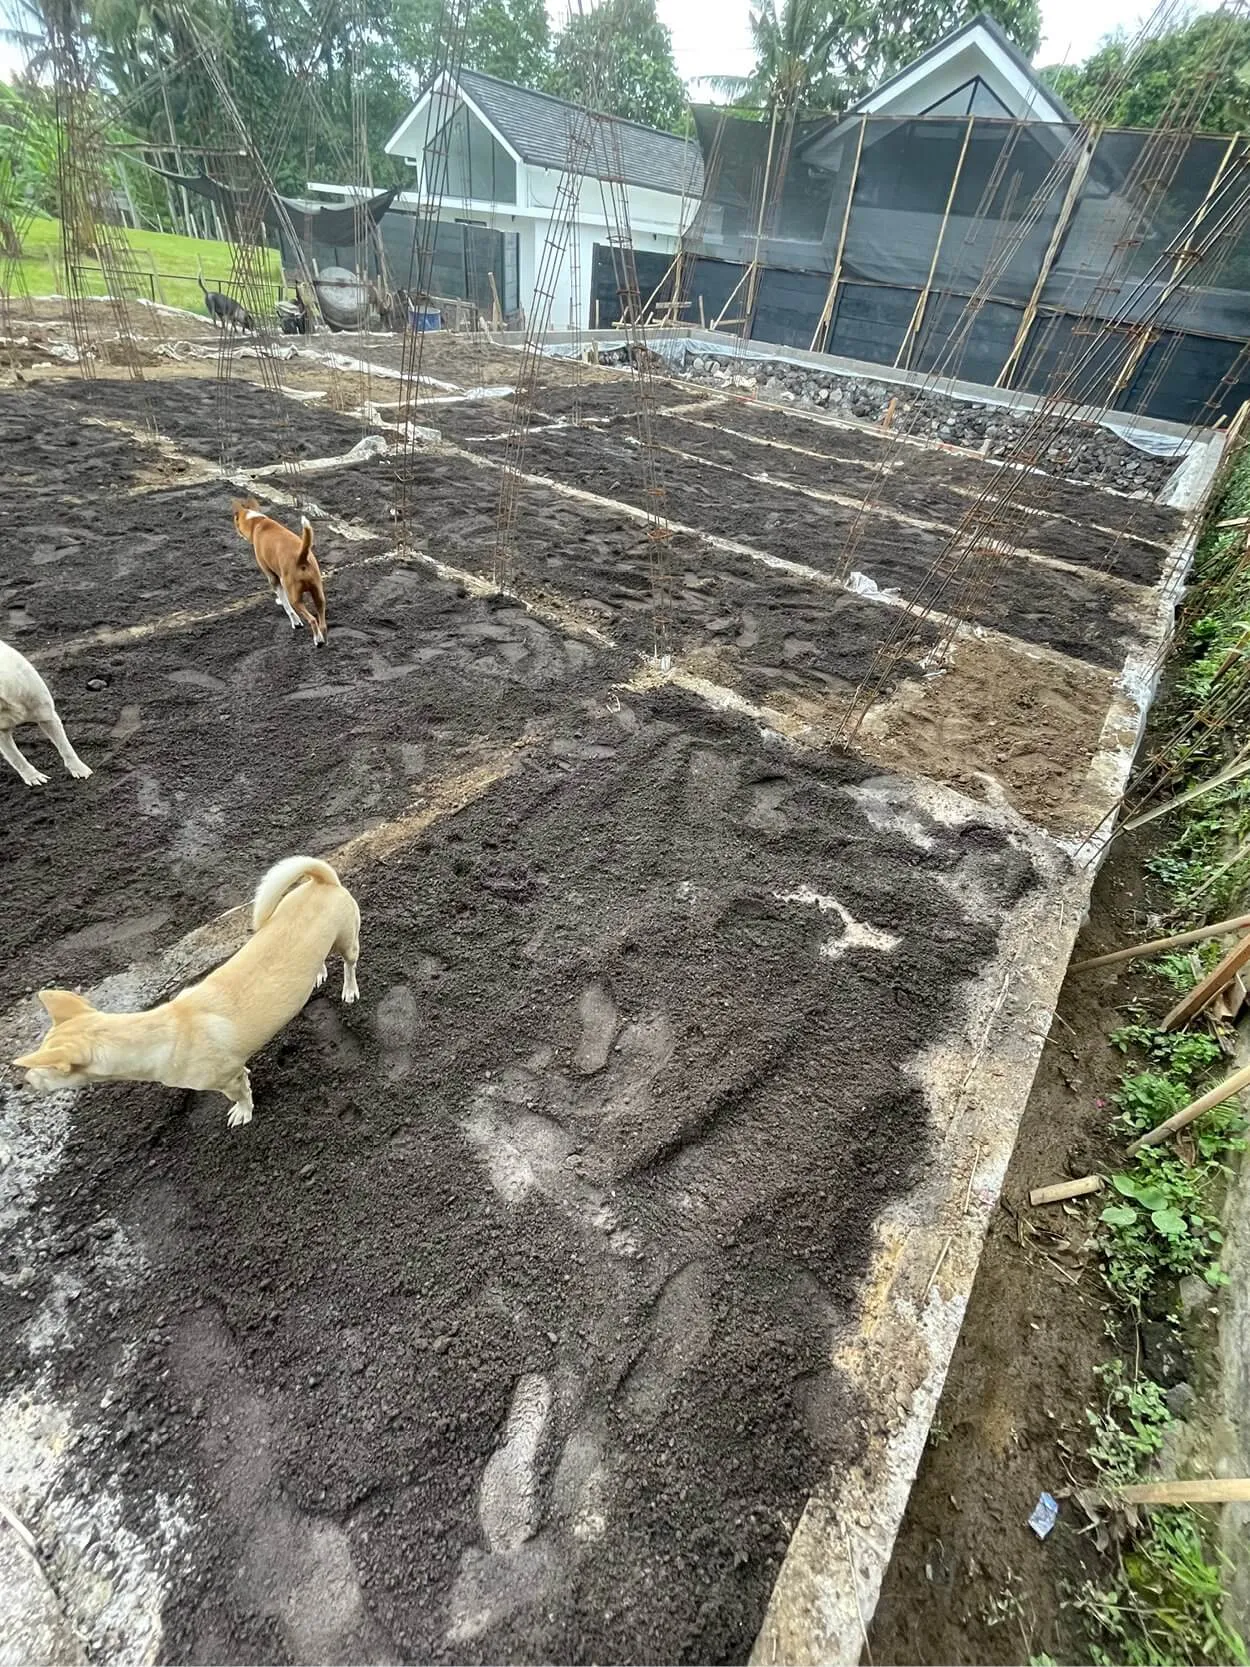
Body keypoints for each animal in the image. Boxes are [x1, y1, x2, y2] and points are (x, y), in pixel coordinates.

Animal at [0, 640, 92, 790]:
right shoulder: (1, 730)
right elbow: (16, 757)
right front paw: (34, 777)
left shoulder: (46, 712)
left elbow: (65, 747)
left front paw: (80, 770)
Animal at [12, 860, 361, 1133]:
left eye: (43, 1071)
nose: (23, 1083)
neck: (165, 1029)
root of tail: (322, 880)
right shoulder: (233, 1069)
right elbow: (245, 1076)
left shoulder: (225, 1080)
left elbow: (241, 1095)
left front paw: (244, 1112)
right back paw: (317, 972)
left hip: (347, 940)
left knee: (348, 963)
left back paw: (349, 988)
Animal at [230, 493, 328, 643]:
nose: (236, 531)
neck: (257, 522)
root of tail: (302, 557)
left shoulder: (273, 577)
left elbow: (287, 605)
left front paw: (295, 621)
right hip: (318, 593)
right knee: (322, 621)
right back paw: (322, 639)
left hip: (295, 597)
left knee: (311, 619)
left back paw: (317, 640)